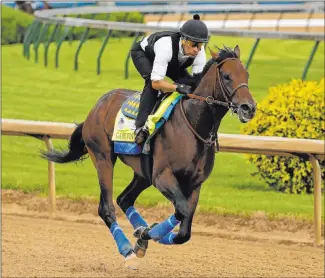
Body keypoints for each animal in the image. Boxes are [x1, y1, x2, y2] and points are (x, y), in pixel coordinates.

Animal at [41, 45, 256, 270]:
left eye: (246, 75)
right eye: (227, 76)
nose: (248, 108)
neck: (192, 125)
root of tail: (99, 104)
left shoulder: (194, 184)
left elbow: (184, 228)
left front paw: (145, 234)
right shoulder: (162, 176)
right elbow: (182, 210)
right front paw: (145, 235)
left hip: (143, 173)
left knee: (124, 199)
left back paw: (140, 237)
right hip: (103, 157)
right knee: (106, 207)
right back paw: (128, 252)